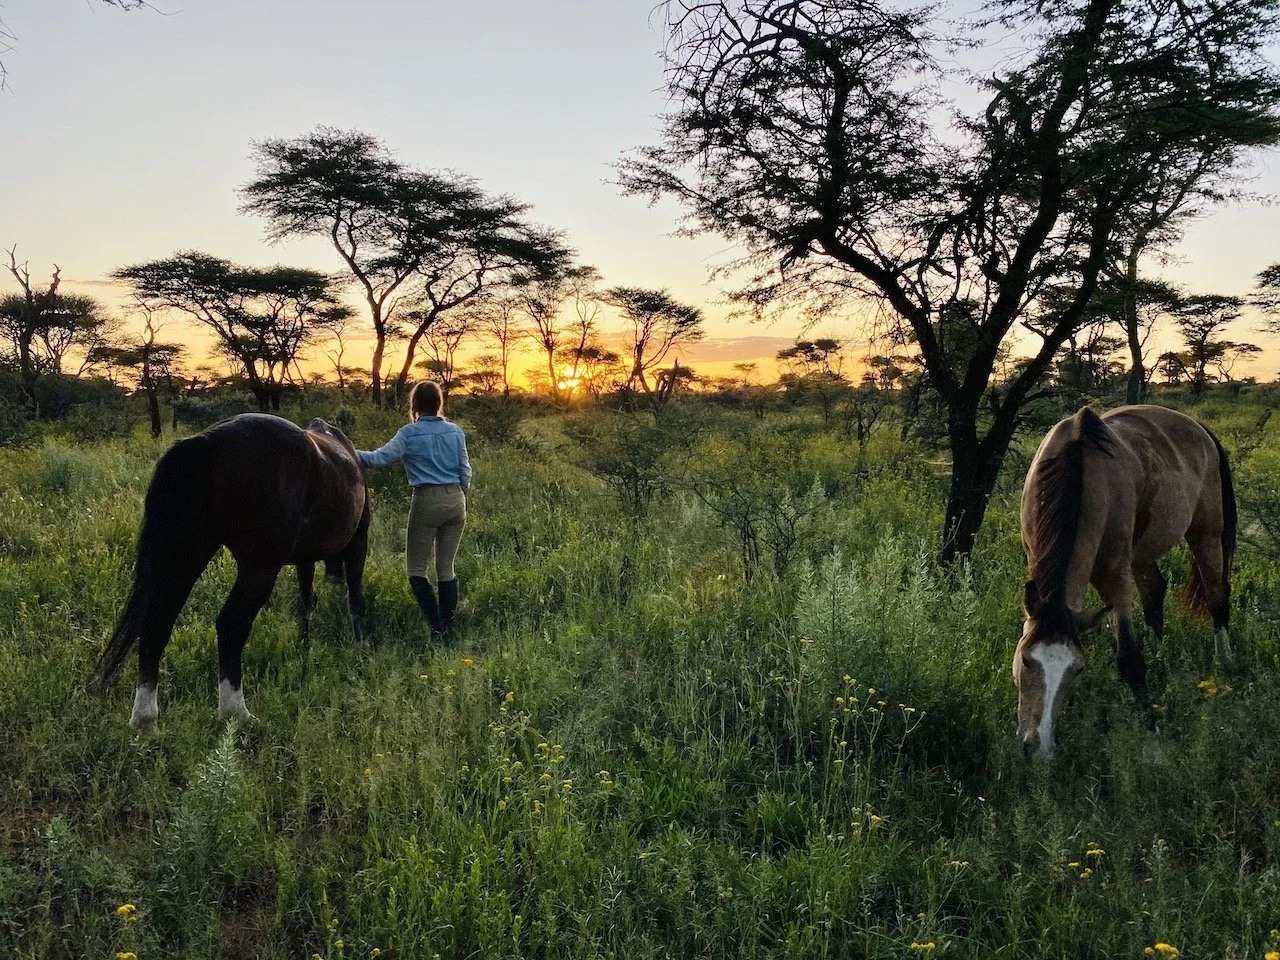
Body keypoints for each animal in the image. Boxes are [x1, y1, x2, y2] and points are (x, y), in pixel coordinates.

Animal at [91, 413, 370, 735]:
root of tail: (207, 441)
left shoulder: (305, 557)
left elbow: (306, 600)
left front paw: (304, 645)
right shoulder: (358, 541)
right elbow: (355, 598)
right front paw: (361, 644)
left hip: (186, 557)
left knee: (156, 625)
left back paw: (146, 722)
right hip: (258, 568)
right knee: (231, 624)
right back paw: (235, 712)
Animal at [1013, 405, 1236, 760]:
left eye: (1077, 669)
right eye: (1026, 660)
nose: (1039, 748)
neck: (1081, 468)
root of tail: (1200, 428)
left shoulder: (1115, 577)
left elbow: (1130, 658)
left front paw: (1152, 741)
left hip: (1207, 535)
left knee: (1217, 597)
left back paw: (1225, 663)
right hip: (1143, 553)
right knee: (1155, 593)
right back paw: (1161, 656)